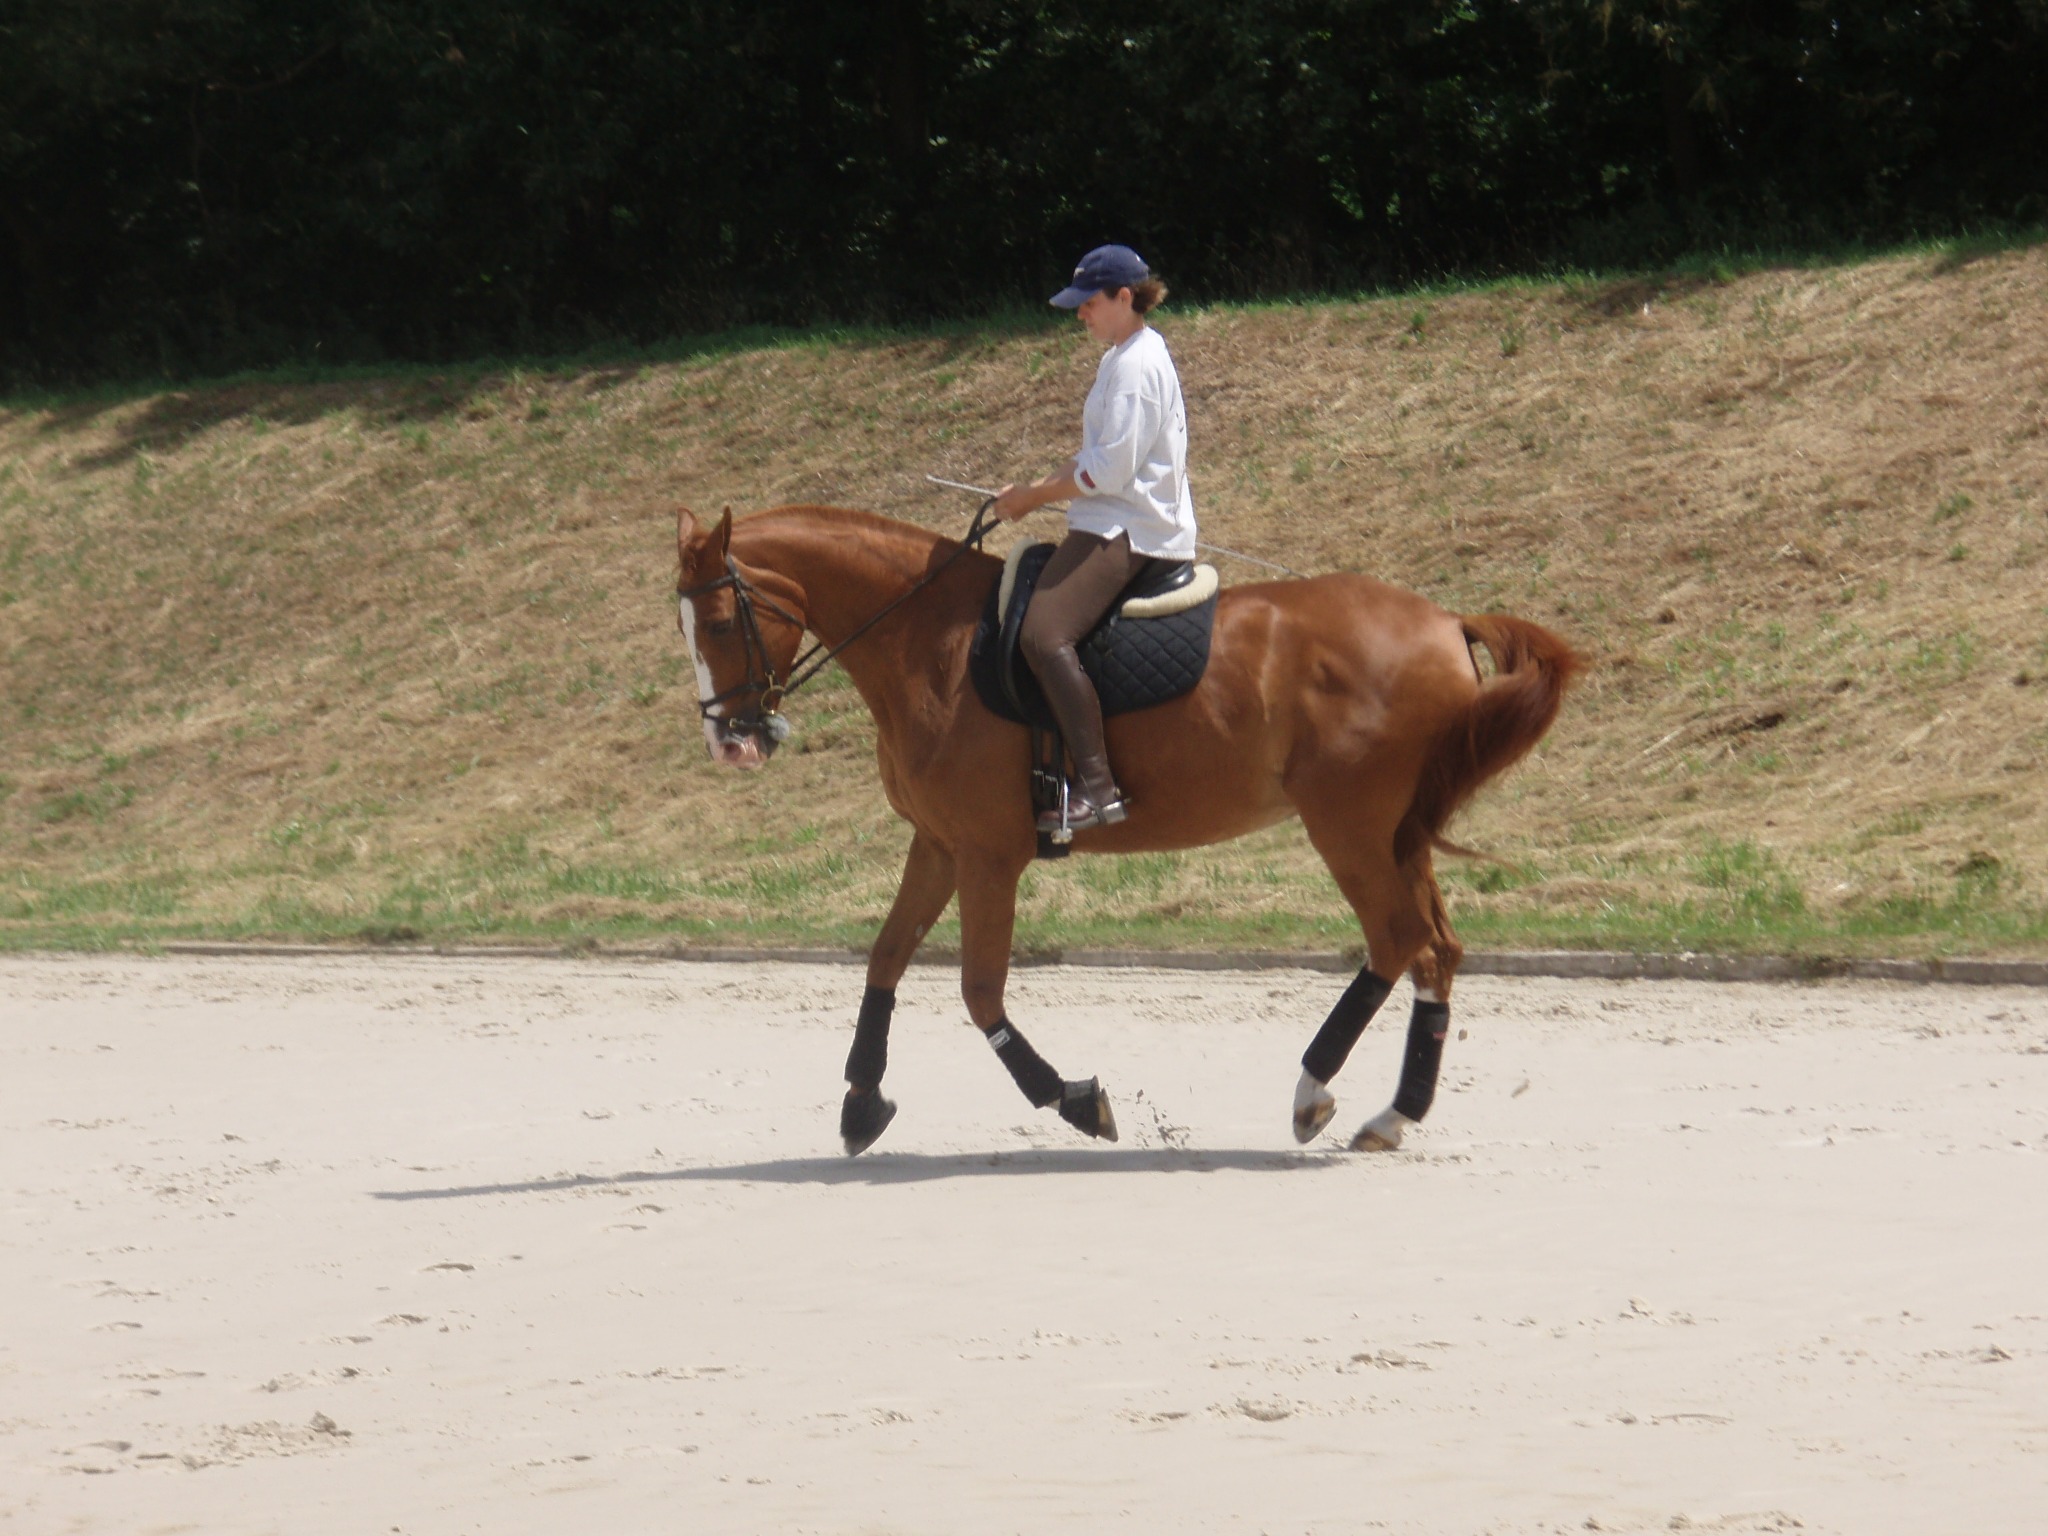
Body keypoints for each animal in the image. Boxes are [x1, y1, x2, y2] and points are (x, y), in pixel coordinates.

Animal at [674, 503, 1579, 1155]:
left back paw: (1315, 1092)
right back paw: (1393, 1113)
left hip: (1349, 824)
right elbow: (887, 957)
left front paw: (1074, 1099)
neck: (931, 643)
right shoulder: (938, 844)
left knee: (1397, 940)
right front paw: (862, 1101)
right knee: (1435, 949)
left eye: (717, 624)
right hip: (1396, 831)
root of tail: (1444, 621)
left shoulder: (988, 854)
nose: (728, 743)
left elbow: (978, 990)